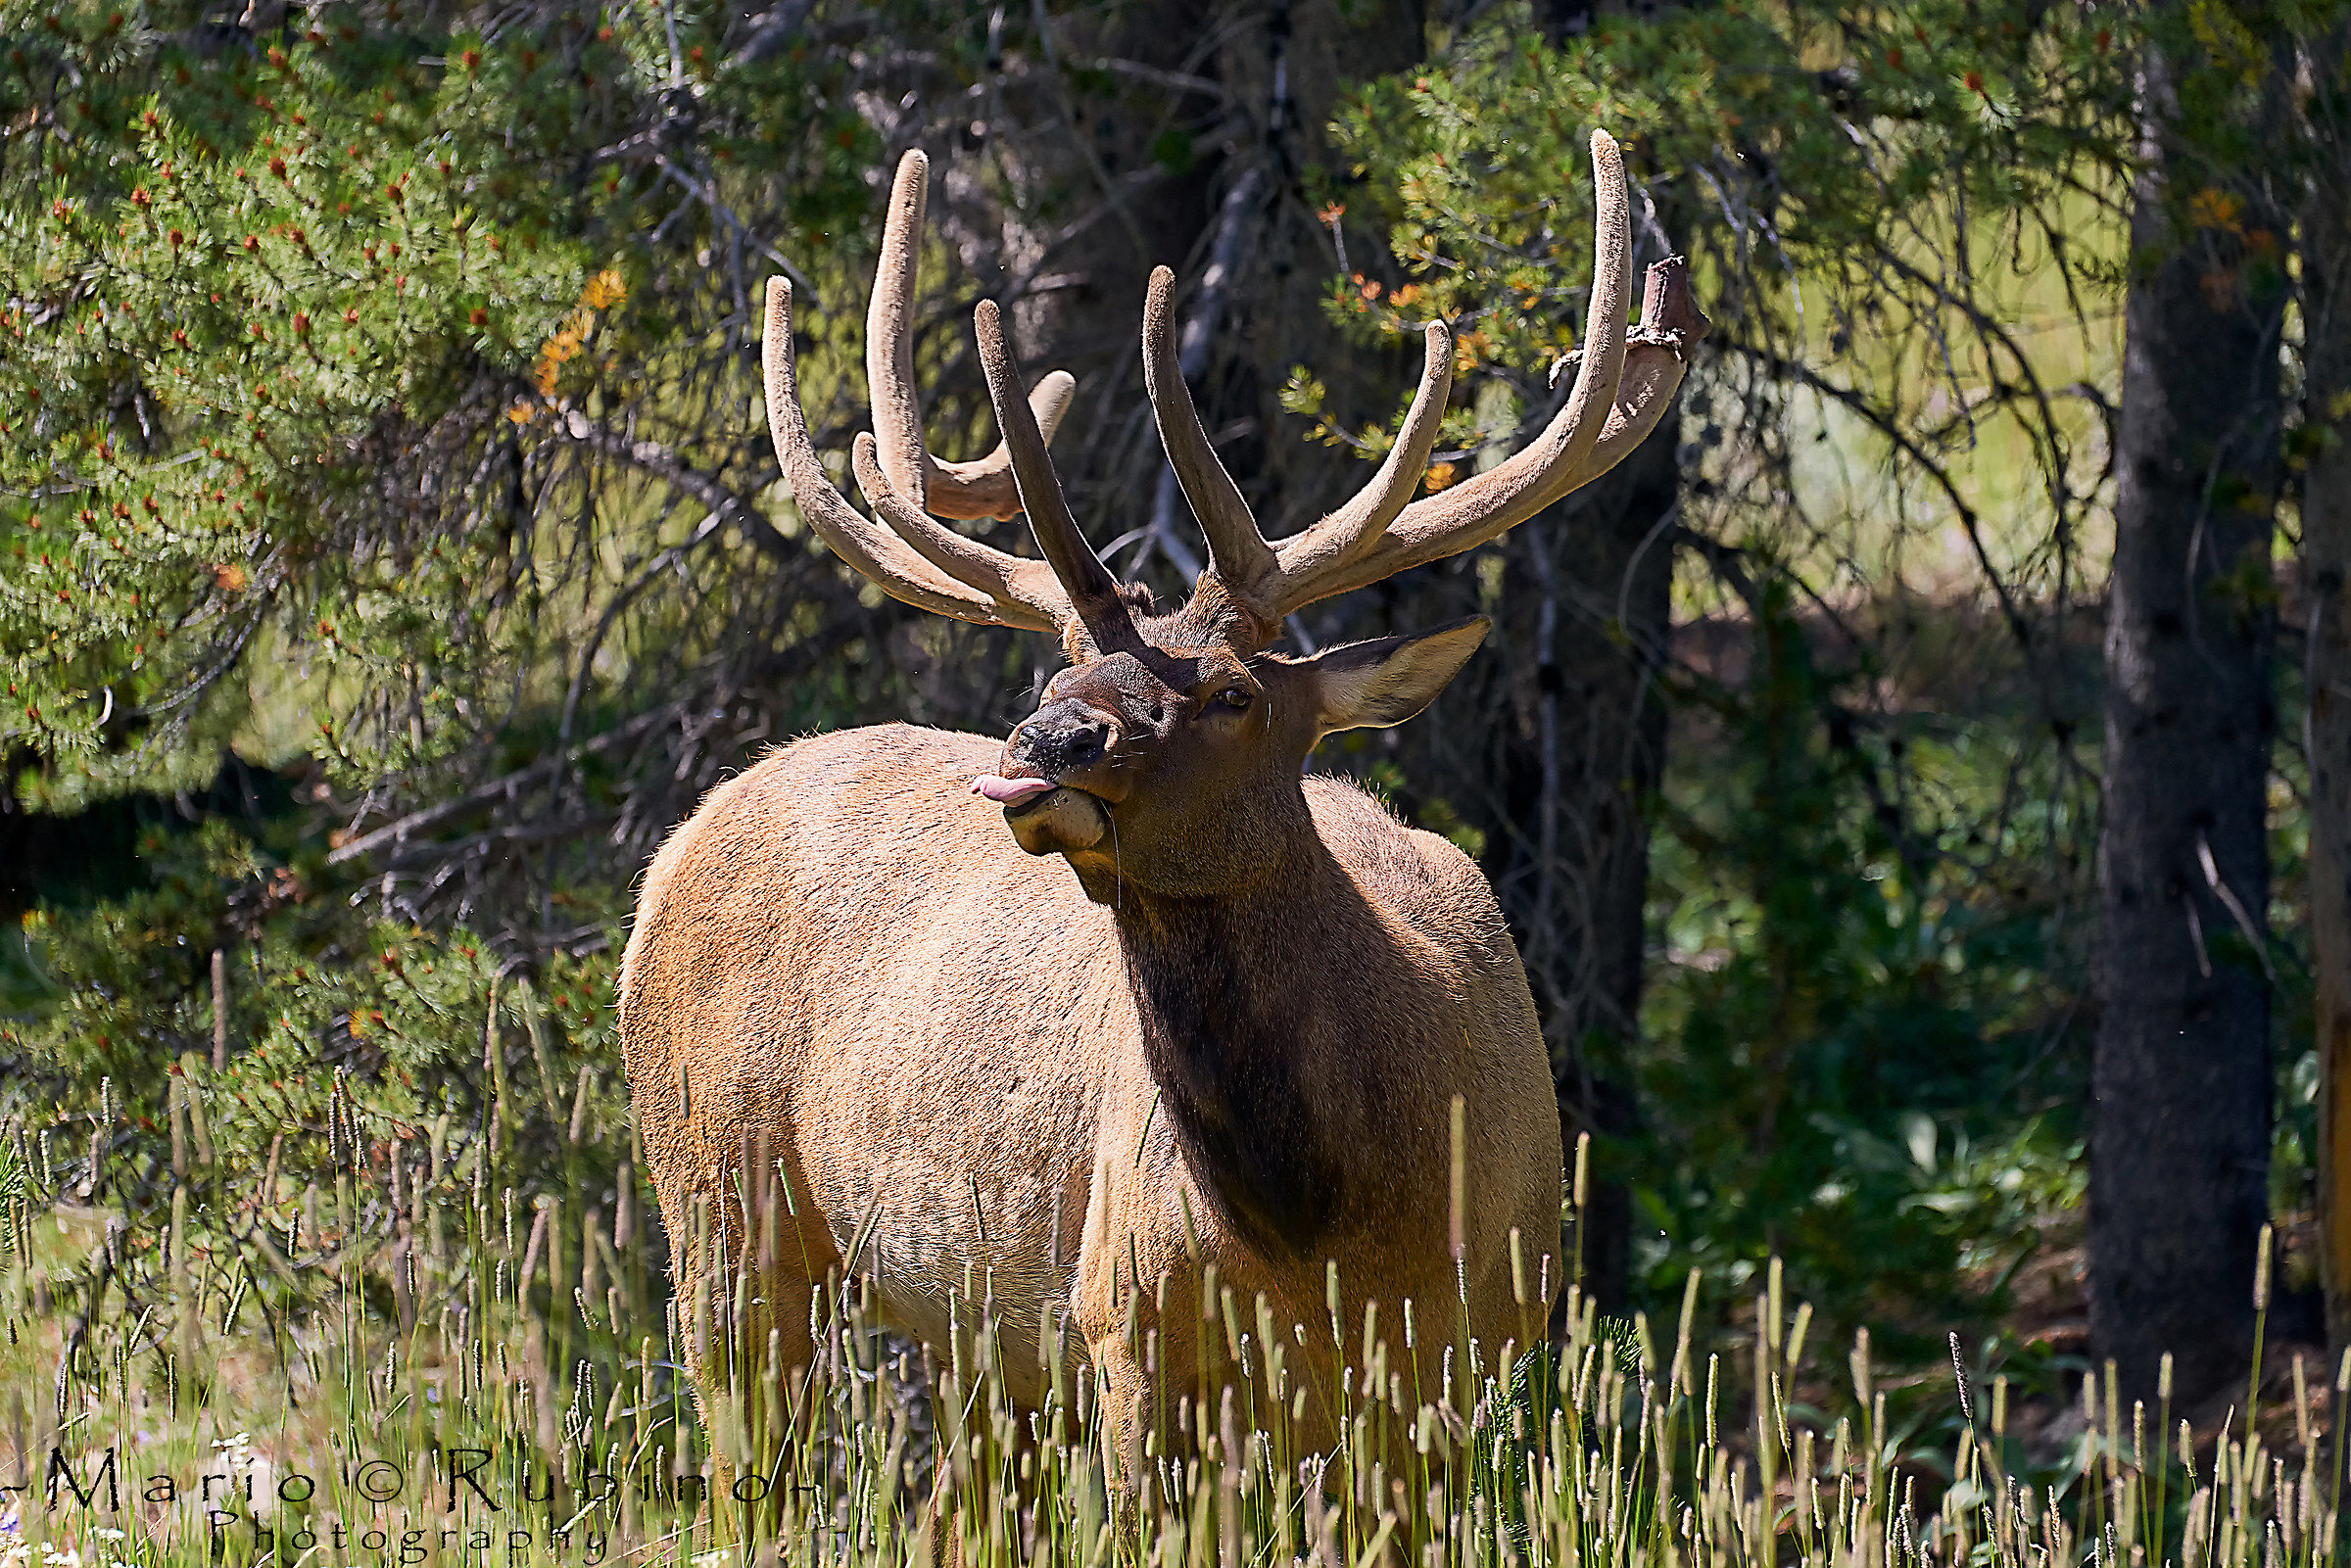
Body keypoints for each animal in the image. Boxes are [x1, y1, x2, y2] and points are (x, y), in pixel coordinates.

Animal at [617, 127, 1704, 1517]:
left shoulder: (1464, 1361)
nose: (1045, 746)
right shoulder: (1126, 1326)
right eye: (1062, 663)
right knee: (747, 1466)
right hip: (716, 1194)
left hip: (972, 1333)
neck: (1329, 1234)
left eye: (1236, 691)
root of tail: (677, 846)